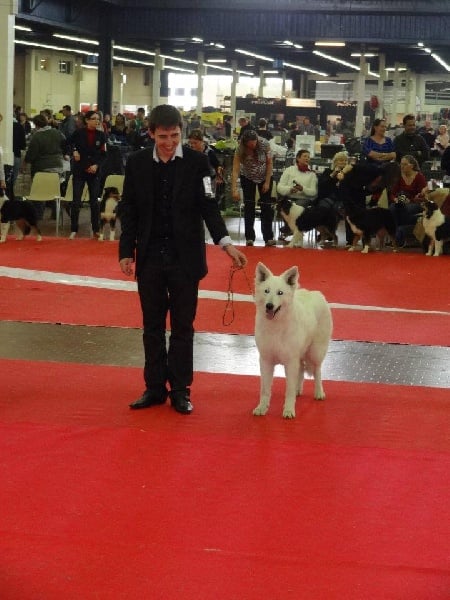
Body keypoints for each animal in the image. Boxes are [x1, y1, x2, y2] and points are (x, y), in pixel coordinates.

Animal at [253, 260, 334, 420]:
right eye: (266, 291)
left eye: (280, 293)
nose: (269, 305)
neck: (276, 326)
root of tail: (317, 294)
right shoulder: (266, 361)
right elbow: (265, 389)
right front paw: (262, 408)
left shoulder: (290, 362)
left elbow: (288, 390)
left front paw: (289, 410)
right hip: (301, 355)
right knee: (301, 369)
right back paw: (298, 390)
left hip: (315, 352)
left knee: (317, 371)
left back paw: (318, 392)